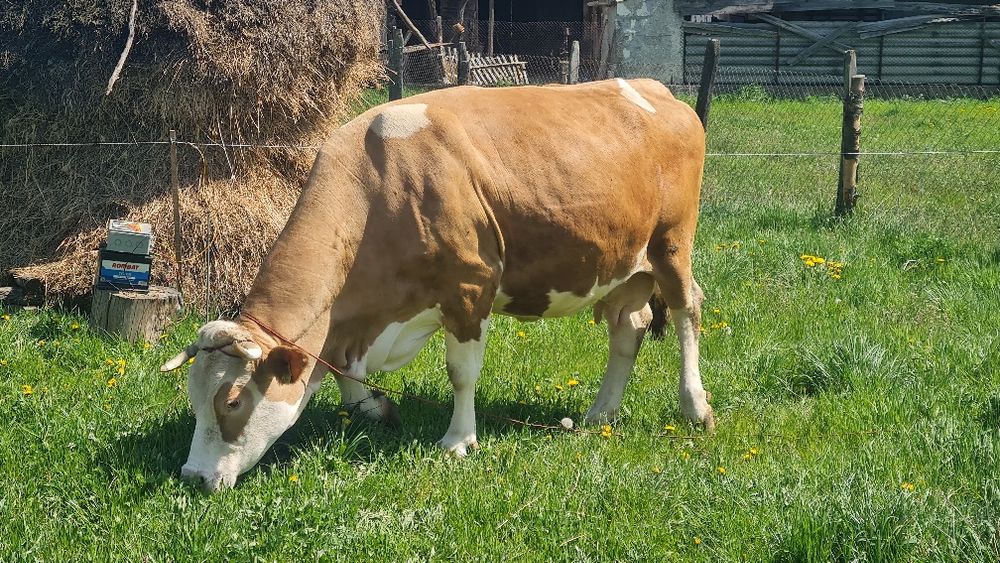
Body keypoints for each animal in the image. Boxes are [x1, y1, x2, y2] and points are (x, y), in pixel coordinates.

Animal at [160, 78, 712, 491]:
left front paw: (458, 441)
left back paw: (695, 407)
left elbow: (461, 373)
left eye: (232, 402)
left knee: (687, 310)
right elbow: (343, 373)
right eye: (191, 397)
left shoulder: (470, 288)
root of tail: (655, 89)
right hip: (622, 262)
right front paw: (375, 406)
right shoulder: (354, 322)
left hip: (671, 244)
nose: (192, 476)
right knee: (628, 326)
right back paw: (601, 412)